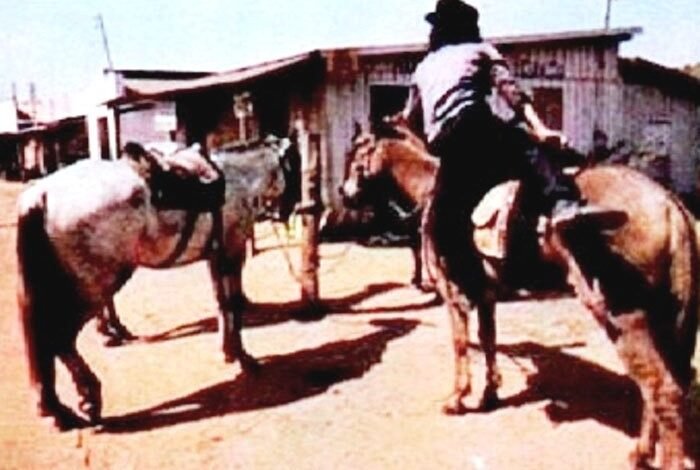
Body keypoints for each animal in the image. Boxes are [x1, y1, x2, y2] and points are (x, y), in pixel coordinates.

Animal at [16, 138, 289, 430]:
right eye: (293, 164)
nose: (286, 212)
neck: (238, 179)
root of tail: (41, 194)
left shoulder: (216, 257)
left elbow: (221, 303)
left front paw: (228, 352)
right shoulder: (233, 252)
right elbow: (234, 304)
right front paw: (243, 358)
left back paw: (57, 408)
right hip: (94, 287)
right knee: (59, 338)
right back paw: (86, 398)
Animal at [340, 121, 698, 469]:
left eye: (355, 155)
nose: (345, 195)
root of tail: (669, 205)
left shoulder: (453, 291)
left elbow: (460, 343)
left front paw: (457, 398)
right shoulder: (486, 294)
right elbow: (488, 338)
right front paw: (489, 394)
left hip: (623, 317)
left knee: (661, 389)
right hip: (662, 318)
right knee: (662, 386)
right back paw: (640, 453)